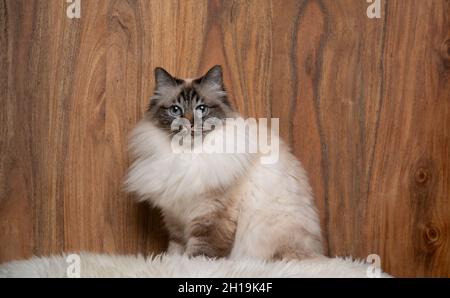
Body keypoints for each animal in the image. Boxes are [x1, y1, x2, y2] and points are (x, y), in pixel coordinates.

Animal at [125, 66, 324, 260]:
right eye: (175, 110)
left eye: (202, 109)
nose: (189, 123)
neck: (188, 155)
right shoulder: (175, 215)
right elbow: (176, 247)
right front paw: (171, 263)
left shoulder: (211, 212)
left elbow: (200, 250)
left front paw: (190, 264)